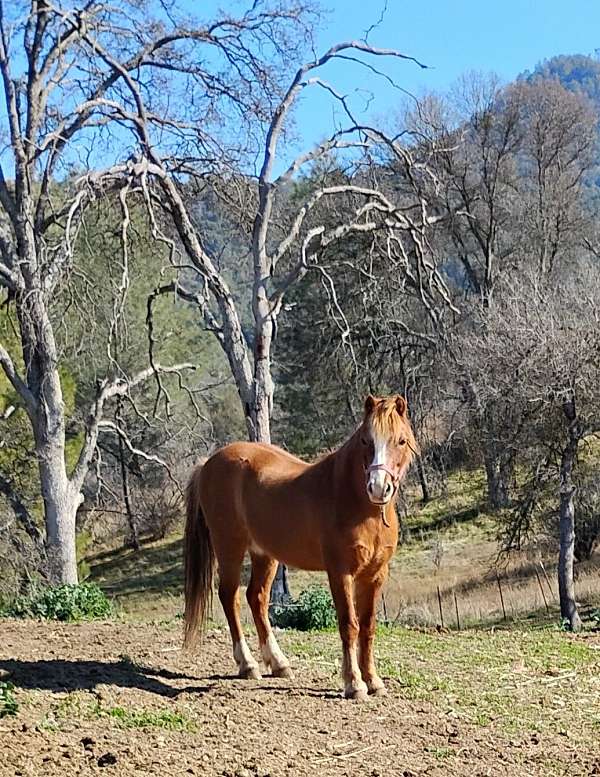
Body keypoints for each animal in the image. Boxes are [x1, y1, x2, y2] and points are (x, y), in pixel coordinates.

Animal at [184, 392, 418, 700]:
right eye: (366, 440)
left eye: (400, 441)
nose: (378, 488)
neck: (356, 502)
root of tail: (208, 463)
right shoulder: (340, 573)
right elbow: (349, 625)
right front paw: (354, 684)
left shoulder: (375, 574)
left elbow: (367, 627)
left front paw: (374, 682)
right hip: (229, 546)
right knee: (230, 597)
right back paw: (248, 665)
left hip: (264, 554)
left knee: (256, 598)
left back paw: (278, 663)